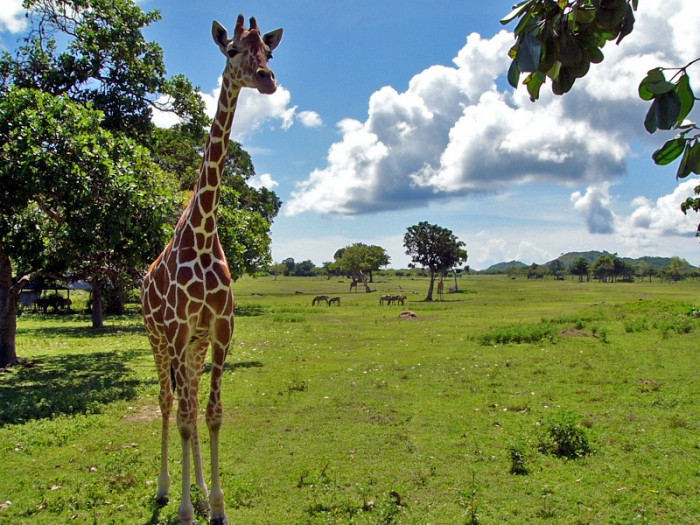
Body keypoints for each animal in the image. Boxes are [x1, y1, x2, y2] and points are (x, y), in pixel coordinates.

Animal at [141, 14, 284, 520]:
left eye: (269, 51)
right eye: (231, 50)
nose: (267, 79)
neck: (203, 235)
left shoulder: (220, 328)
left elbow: (212, 414)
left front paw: (216, 503)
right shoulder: (178, 329)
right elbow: (185, 417)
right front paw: (185, 509)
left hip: (193, 345)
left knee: (189, 398)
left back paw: (200, 489)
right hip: (158, 339)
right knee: (167, 402)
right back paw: (167, 489)